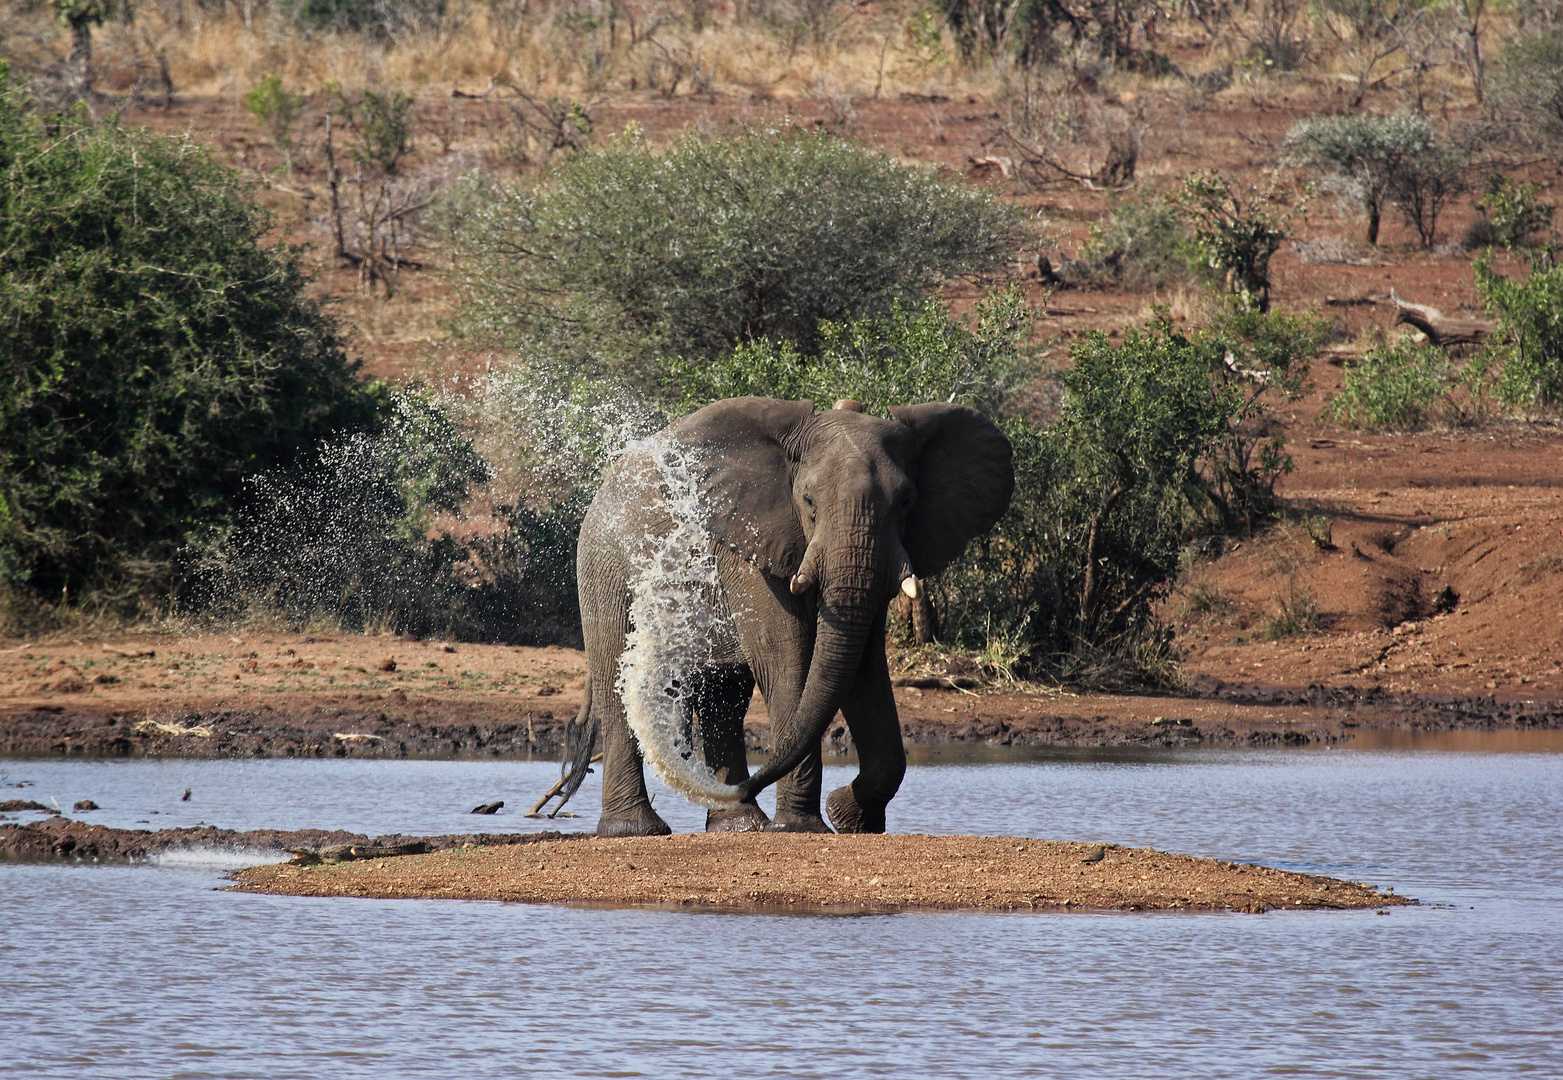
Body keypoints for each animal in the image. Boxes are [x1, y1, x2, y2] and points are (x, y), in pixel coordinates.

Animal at [562, 396, 1012, 837]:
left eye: (905, 502)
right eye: (809, 501)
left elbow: (864, 664)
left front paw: (849, 817)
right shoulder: (750, 543)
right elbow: (785, 654)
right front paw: (801, 827)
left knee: (725, 701)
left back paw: (740, 822)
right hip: (603, 568)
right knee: (617, 688)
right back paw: (636, 829)